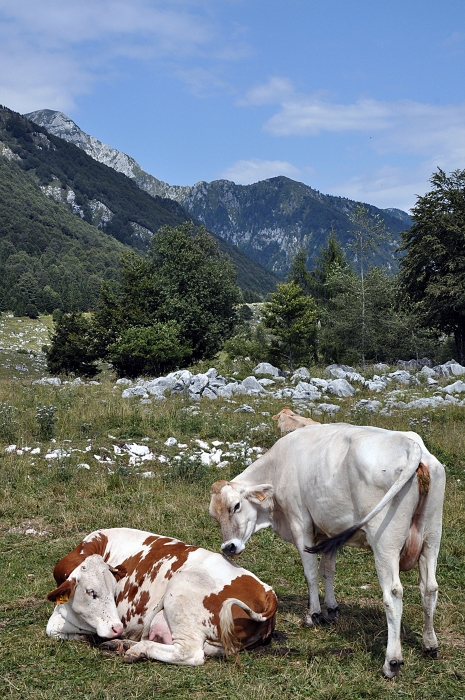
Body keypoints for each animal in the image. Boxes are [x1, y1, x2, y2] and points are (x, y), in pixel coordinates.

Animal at [45, 528, 278, 664]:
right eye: (91, 591)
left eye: (113, 590)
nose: (117, 628)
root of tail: (267, 591)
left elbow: (53, 627)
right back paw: (123, 645)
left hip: (181, 593)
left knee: (190, 653)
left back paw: (136, 649)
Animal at [208, 424, 444, 676]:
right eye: (214, 516)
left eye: (236, 506)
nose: (228, 547)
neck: (279, 465)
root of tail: (409, 443)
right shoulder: (331, 532)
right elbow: (327, 571)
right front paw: (331, 609)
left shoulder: (300, 524)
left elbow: (311, 572)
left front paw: (313, 614)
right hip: (432, 537)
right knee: (429, 588)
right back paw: (430, 645)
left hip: (385, 543)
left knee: (393, 594)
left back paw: (392, 661)